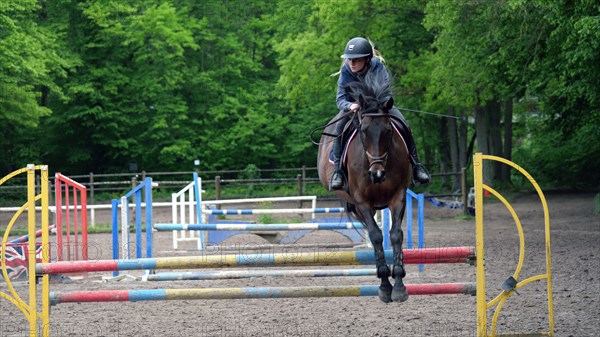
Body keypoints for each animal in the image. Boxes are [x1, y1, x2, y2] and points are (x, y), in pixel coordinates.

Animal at [318, 70, 412, 302]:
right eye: (363, 131)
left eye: (388, 131)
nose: (377, 174)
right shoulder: (362, 202)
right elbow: (376, 236)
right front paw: (385, 284)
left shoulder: (398, 197)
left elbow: (395, 234)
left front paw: (399, 284)